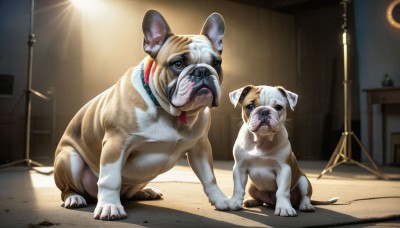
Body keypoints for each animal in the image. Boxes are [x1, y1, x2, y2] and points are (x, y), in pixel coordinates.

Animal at [53, 9, 234, 220]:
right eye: (178, 64)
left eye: (217, 63)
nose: (203, 72)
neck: (171, 113)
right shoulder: (116, 143)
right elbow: (110, 179)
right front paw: (109, 206)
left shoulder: (200, 146)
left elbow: (209, 178)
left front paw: (221, 200)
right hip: (69, 158)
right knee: (69, 188)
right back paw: (74, 198)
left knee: (129, 193)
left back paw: (146, 192)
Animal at [227, 84, 336, 216]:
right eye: (250, 106)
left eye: (278, 107)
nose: (264, 111)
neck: (261, 140)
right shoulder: (239, 168)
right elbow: (238, 188)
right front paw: (234, 202)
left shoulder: (283, 169)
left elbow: (282, 191)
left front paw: (284, 208)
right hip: (252, 187)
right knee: (259, 199)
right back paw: (251, 202)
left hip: (303, 181)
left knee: (304, 196)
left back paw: (306, 205)